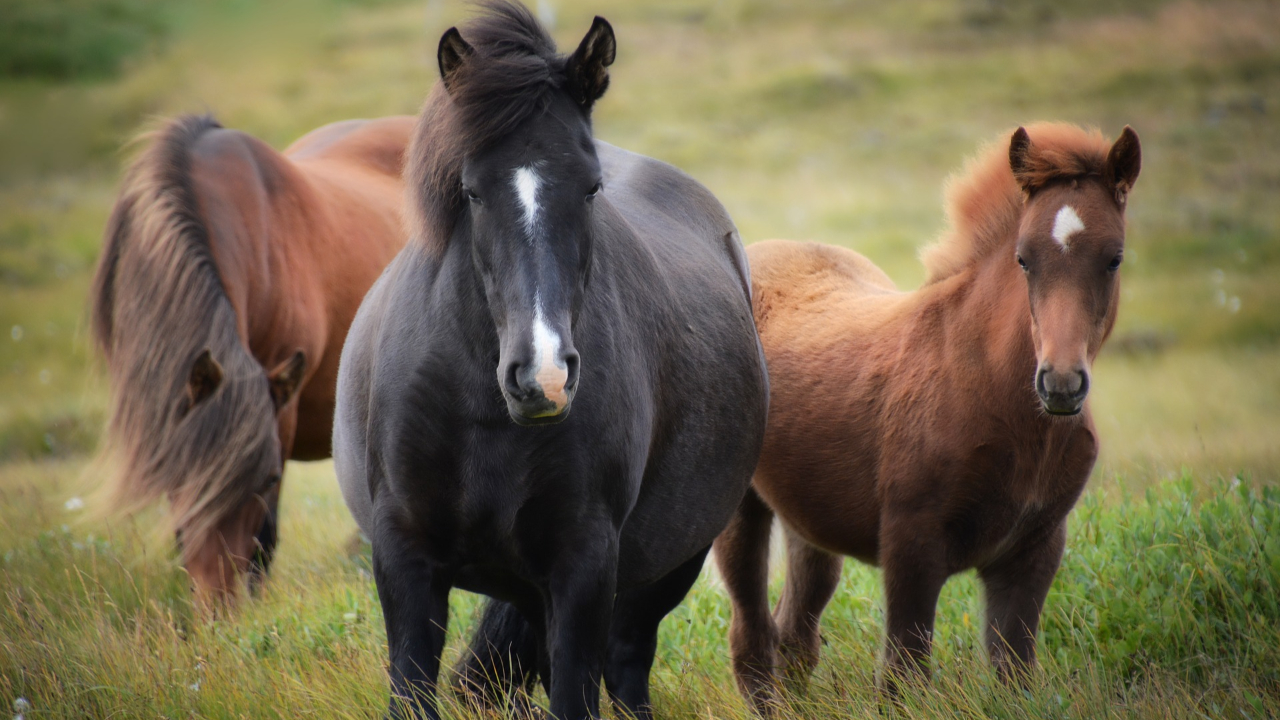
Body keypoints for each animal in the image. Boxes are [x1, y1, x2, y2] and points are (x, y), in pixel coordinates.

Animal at [331, 3, 768, 719]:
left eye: (591, 189)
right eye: (471, 192)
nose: (544, 378)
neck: (482, 414)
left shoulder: (583, 566)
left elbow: (576, 690)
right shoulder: (405, 558)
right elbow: (412, 687)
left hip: (666, 567)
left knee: (626, 666)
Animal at [713, 123, 1141, 709]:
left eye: (1114, 258)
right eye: (1024, 258)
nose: (1060, 384)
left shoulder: (1034, 551)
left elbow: (1013, 675)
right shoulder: (911, 544)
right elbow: (903, 676)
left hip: (809, 520)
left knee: (794, 634)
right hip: (739, 509)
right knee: (752, 638)